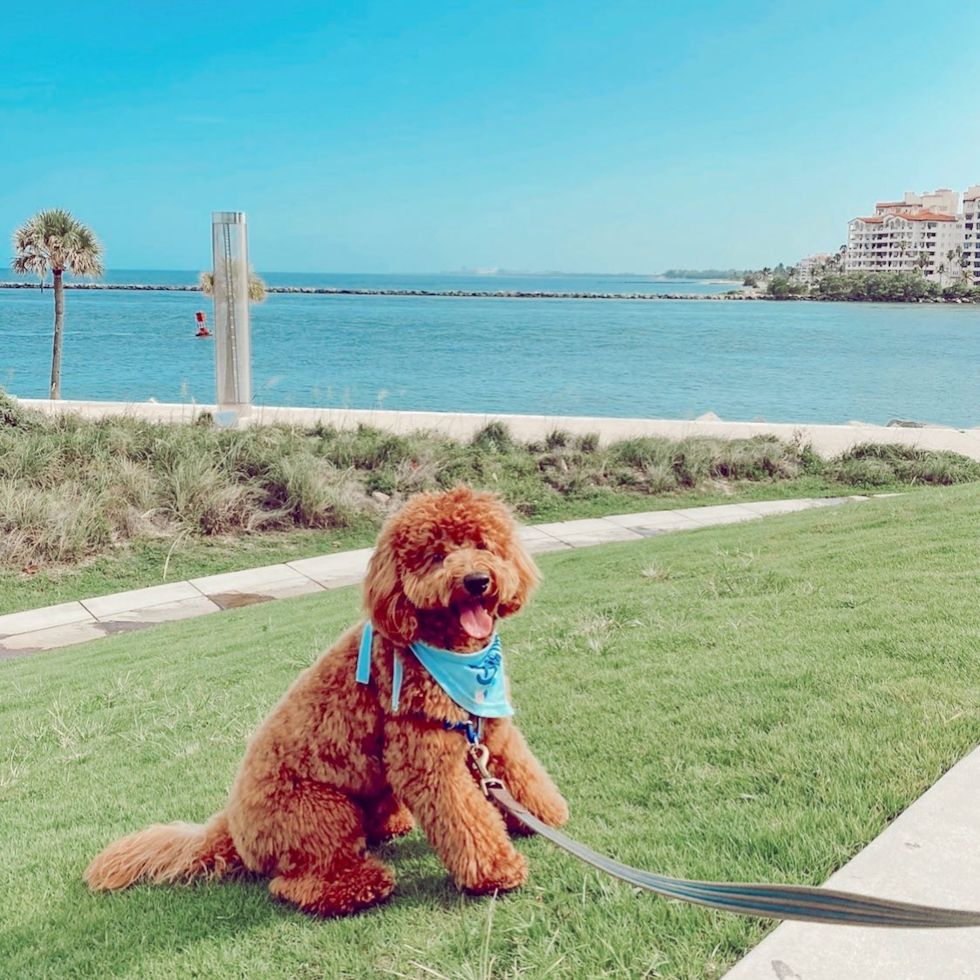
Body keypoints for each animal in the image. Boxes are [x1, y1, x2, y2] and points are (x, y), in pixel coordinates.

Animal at [90, 486, 576, 916]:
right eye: (436, 556)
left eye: (482, 545)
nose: (476, 581)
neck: (452, 654)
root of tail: (230, 826)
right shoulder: (425, 758)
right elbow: (466, 819)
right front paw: (497, 871)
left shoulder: (491, 727)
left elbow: (519, 771)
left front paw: (542, 814)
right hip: (323, 812)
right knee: (298, 881)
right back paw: (360, 884)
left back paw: (392, 824)